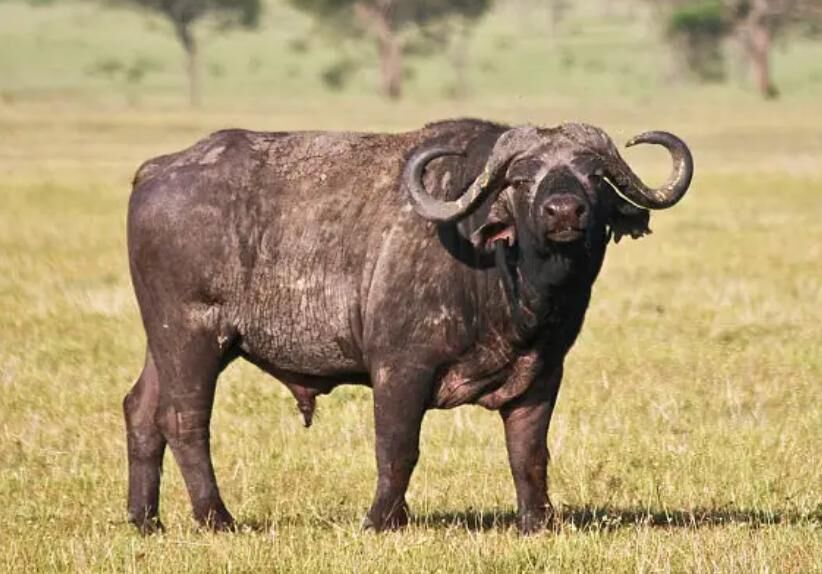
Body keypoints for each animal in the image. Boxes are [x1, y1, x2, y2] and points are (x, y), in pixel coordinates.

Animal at [124, 118, 693, 534]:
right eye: (521, 179)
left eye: (593, 176)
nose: (563, 212)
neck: (502, 278)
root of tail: (155, 170)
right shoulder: (400, 369)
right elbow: (398, 447)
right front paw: (383, 521)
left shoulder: (542, 374)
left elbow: (529, 453)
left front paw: (539, 522)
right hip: (193, 336)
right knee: (183, 420)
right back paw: (217, 519)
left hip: (164, 341)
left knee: (142, 410)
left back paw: (146, 519)